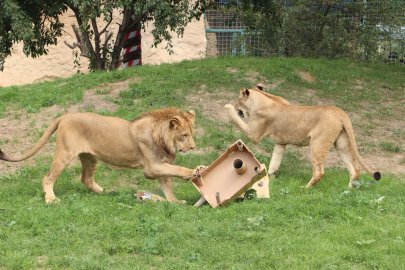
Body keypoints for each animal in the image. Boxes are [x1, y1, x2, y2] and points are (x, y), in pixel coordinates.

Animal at [0, 107, 200, 202]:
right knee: (48, 177)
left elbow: (168, 185)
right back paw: (51, 199)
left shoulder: (160, 163)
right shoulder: (151, 167)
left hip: (90, 158)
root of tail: (65, 116)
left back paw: (106, 193)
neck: (163, 140)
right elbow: (177, 170)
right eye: (184, 135)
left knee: (86, 179)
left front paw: (175, 202)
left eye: (191, 134)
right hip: (64, 154)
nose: (193, 147)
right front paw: (194, 172)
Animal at [226, 85, 380, 189]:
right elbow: (274, 164)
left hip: (318, 142)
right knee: (355, 169)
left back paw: (305, 189)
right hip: (341, 143)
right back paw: (348, 190)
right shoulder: (280, 144)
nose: (236, 106)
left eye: (238, 99)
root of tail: (339, 112)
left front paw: (228, 107)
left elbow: (238, 120)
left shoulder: (254, 135)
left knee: (319, 172)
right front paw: (269, 180)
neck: (263, 97)